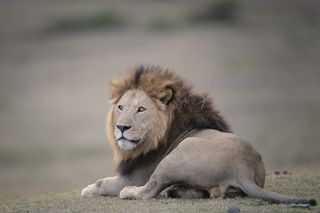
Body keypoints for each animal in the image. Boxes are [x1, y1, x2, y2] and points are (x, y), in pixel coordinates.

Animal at [80, 65, 318, 206]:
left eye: (140, 109)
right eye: (120, 107)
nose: (121, 127)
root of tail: (243, 168)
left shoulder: (135, 176)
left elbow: (102, 183)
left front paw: (87, 189)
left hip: (176, 155)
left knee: (149, 190)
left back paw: (133, 192)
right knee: (205, 193)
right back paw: (177, 191)